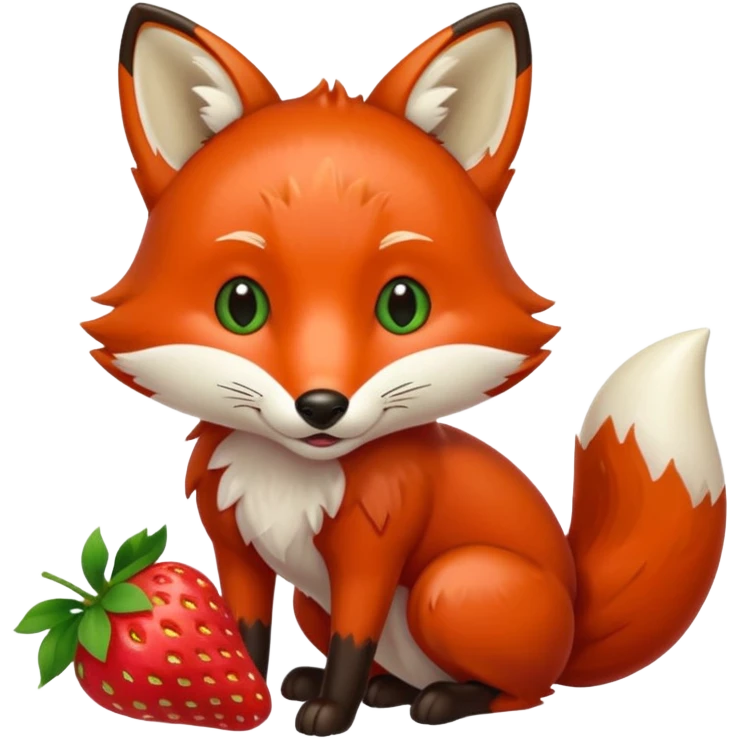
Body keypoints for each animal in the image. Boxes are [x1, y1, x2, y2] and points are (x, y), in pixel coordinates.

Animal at [85, 1, 728, 735]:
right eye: (240, 304)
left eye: (402, 305)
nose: (321, 406)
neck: (290, 481)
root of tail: (573, 610)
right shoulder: (237, 544)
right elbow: (243, 629)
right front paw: (259, 693)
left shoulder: (371, 551)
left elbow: (352, 640)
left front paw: (330, 710)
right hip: (318, 601)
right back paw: (380, 686)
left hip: (454, 587)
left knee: (525, 690)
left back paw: (446, 698)